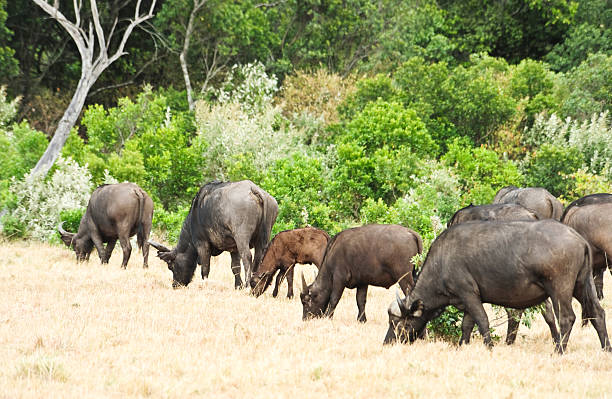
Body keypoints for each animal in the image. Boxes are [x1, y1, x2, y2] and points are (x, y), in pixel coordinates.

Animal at [150, 180, 278, 288]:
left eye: (171, 266)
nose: (175, 285)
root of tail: (253, 189)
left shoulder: (202, 243)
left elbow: (205, 267)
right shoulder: (233, 248)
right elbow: (235, 267)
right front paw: (238, 286)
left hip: (242, 237)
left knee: (247, 257)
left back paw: (247, 284)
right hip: (263, 238)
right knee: (259, 258)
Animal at [384, 220, 608, 354]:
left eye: (399, 324)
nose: (388, 342)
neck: (443, 260)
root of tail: (579, 239)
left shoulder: (468, 294)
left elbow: (482, 320)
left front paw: (489, 347)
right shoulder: (468, 300)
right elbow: (467, 324)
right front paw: (462, 345)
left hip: (559, 289)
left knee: (567, 318)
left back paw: (558, 351)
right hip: (583, 284)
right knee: (598, 313)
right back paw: (606, 348)